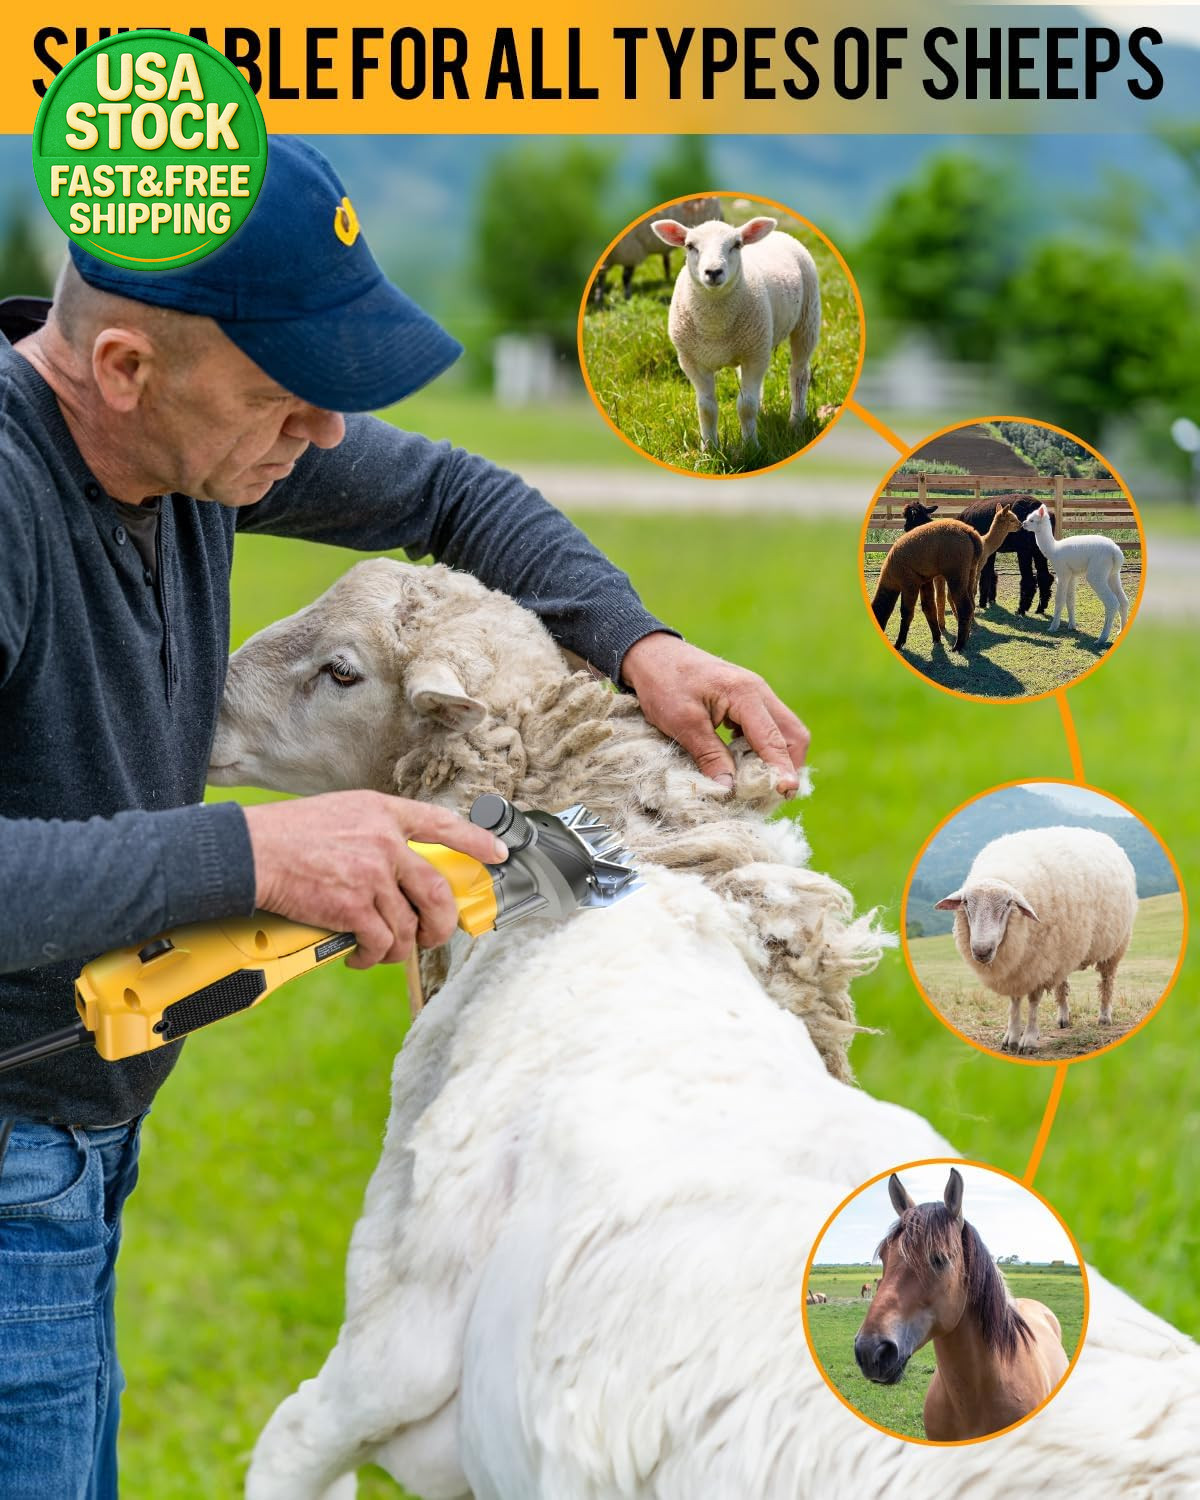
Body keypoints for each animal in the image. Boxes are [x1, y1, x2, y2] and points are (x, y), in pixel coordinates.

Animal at [649, 216, 820, 450]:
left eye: (737, 245)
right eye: (690, 246)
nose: (713, 272)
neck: (715, 326)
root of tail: (779, 234)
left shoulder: (755, 357)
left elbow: (746, 406)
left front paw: (750, 447)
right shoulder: (691, 361)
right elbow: (706, 407)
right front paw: (709, 448)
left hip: (806, 319)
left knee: (799, 373)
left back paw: (796, 422)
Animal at [870, 519, 982, 654]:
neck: (892, 577)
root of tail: (970, 532)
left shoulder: (909, 582)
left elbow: (906, 612)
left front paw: (898, 644)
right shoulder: (924, 580)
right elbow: (928, 607)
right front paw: (936, 638)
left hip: (956, 571)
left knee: (965, 607)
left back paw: (958, 646)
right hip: (970, 570)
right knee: (971, 603)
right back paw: (966, 639)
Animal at [935, 825, 1138, 1055]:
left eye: (1007, 905)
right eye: (966, 903)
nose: (981, 951)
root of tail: (1098, 834)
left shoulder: (1038, 962)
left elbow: (1033, 1002)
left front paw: (1029, 1039)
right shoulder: (1020, 968)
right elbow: (1014, 1003)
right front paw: (1011, 1037)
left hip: (1114, 946)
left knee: (1106, 981)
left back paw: (1104, 1016)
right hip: (1063, 951)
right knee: (1062, 985)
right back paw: (1063, 1018)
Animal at [1022, 504, 1130, 646]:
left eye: (1032, 520)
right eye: (1028, 518)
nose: (1023, 524)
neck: (1053, 549)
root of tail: (1116, 552)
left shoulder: (1063, 573)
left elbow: (1059, 600)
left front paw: (1053, 627)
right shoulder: (1072, 575)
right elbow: (1070, 600)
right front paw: (1072, 625)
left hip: (1097, 572)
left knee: (1112, 602)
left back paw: (1101, 639)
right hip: (1113, 574)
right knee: (1123, 601)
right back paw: (1121, 631)